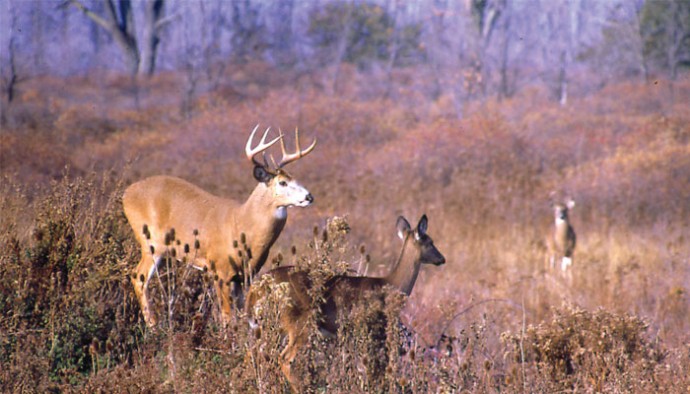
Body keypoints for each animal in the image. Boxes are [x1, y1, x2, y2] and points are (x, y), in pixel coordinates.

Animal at [122, 126, 316, 326]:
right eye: (283, 182)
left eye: (295, 178)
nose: (309, 197)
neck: (243, 225)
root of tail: (126, 193)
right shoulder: (220, 270)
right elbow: (227, 317)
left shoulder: (244, 276)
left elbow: (242, 312)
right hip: (151, 243)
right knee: (138, 277)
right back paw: (153, 325)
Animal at [245, 215, 444, 390]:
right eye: (430, 242)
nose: (442, 259)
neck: (391, 286)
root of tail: (257, 288)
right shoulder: (375, 329)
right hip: (299, 324)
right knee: (284, 359)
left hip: (269, 326)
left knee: (255, 354)